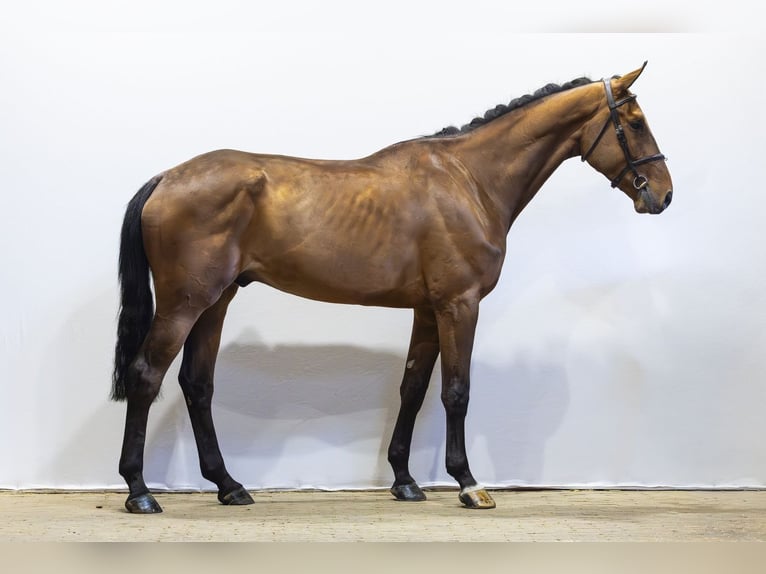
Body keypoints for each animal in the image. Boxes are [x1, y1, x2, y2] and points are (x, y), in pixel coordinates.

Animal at [112, 62, 672, 513]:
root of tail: (167, 177)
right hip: (185, 303)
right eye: (636, 123)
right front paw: (468, 484)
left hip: (216, 301)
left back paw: (229, 486)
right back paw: (139, 492)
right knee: (146, 375)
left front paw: (404, 481)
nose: (663, 196)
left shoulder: (427, 309)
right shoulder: (459, 305)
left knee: (197, 384)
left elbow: (413, 388)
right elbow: (456, 391)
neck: (469, 179)